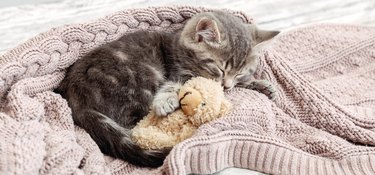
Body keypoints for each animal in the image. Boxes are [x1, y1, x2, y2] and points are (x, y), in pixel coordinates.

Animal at [55, 10, 280, 167]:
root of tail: (74, 98)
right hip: (140, 78)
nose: (226, 85)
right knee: (138, 123)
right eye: (219, 68)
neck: (180, 48)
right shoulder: (178, 73)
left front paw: (264, 86)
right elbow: (175, 86)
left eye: (240, 73)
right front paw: (166, 101)